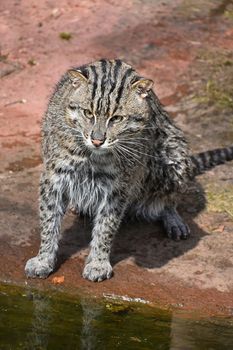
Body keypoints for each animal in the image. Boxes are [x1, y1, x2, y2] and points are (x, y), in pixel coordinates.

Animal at [25, 58, 233, 282]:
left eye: (117, 118)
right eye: (88, 113)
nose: (97, 140)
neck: (92, 155)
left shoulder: (117, 187)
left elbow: (106, 227)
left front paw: (98, 261)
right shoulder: (53, 176)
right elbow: (49, 221)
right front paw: (44, 258)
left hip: (175, 155)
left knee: (168, 197)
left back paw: (172, 217)